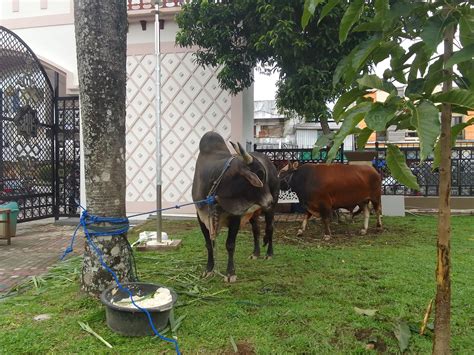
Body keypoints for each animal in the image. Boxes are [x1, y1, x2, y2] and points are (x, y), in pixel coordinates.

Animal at [193, 131, 280, 284]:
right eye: (260, 174)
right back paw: (255, 253)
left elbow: (230, 245)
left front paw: (230, 273)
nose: (269, 200)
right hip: (254, 213)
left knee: (270, 228)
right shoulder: (201, 216)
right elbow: (209, 244)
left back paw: (269, 253)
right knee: (256, 230)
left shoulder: (235, 217)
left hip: (271, 210)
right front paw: (208, 269)